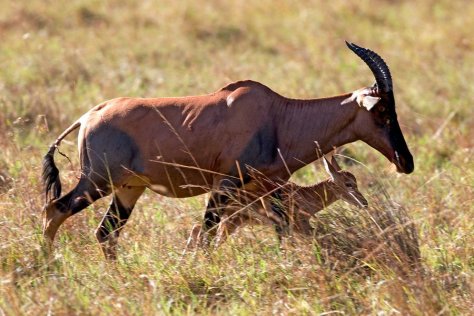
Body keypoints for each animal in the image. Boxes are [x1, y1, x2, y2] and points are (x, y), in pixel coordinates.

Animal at [41, 41, 412, 260]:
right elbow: (206, 233)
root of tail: (89, 114)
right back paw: (46, 265)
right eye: (382, 110)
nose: (405, 162)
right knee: (55, 209)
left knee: (105, 233)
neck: (277, 115)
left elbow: (283, 231)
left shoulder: (269, 189)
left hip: (128, 189)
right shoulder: (226, 185)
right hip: (97, 182)